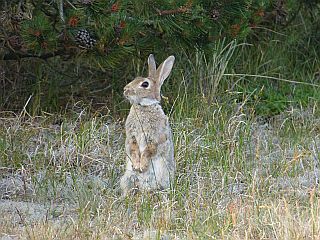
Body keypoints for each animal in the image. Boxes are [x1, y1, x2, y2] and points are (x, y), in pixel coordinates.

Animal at [119, 54, 175, 195]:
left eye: (145, 84)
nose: (125, 90)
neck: (144, 106)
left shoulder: (154, 138)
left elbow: (149, 151)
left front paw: (142, 166)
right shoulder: (132, 136)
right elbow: (133, 149)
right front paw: (136, 165)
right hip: (127, 177)